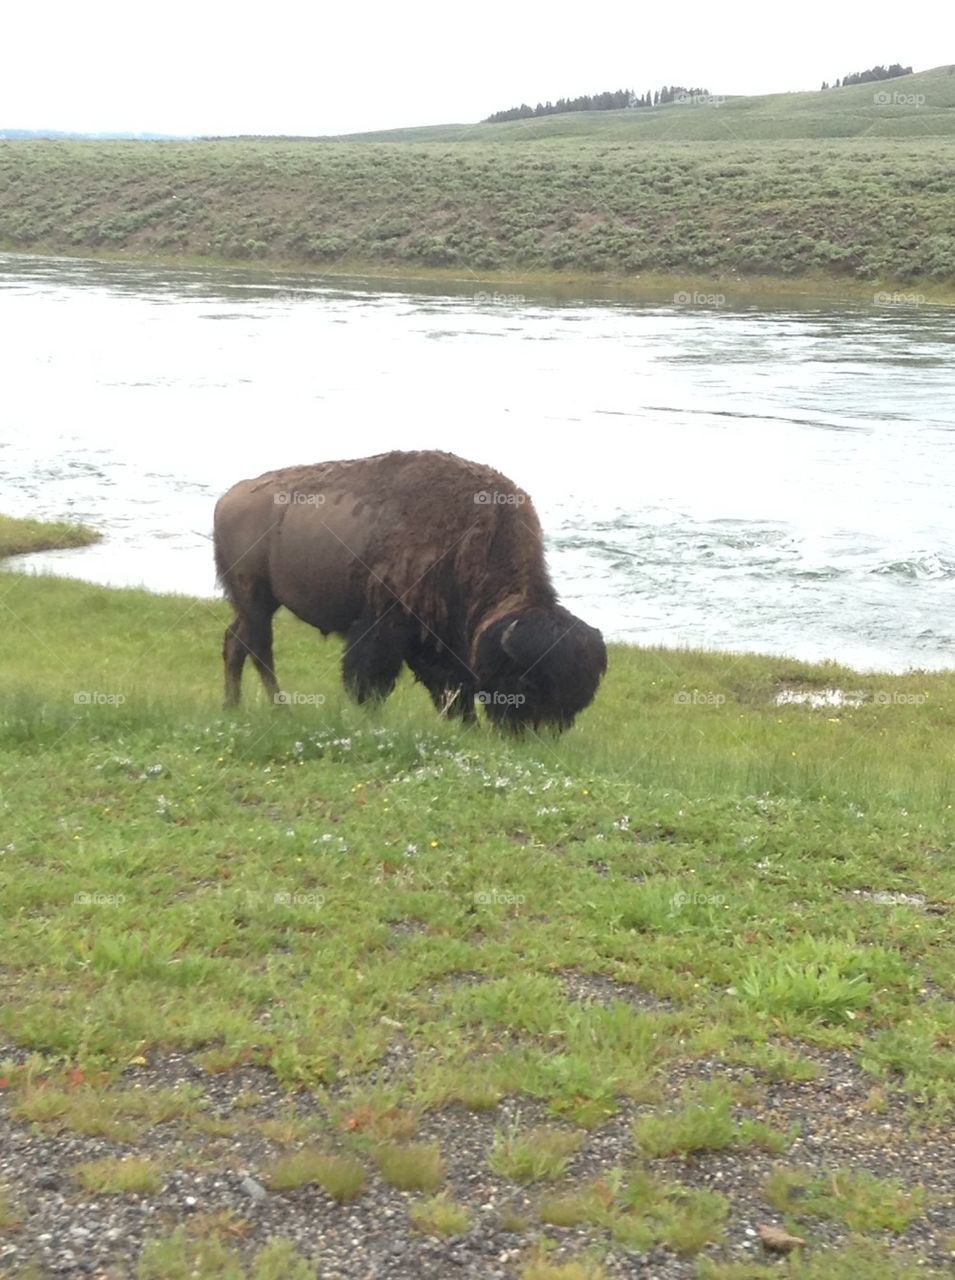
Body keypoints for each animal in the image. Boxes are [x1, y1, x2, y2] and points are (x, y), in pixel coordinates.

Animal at [213, 449, 606, 730]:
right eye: (527, 683)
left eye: (579, 697)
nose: (538, 736)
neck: (472, 537)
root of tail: (230, 497)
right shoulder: (385, 625)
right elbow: (372, 678)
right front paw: (369, 716)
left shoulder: (438, 639)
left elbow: (452, 686)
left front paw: (466, 725)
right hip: (255, 597)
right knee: (259, 647)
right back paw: (281, 710)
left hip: (253, 603)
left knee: (235, 642)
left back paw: (233, 706)